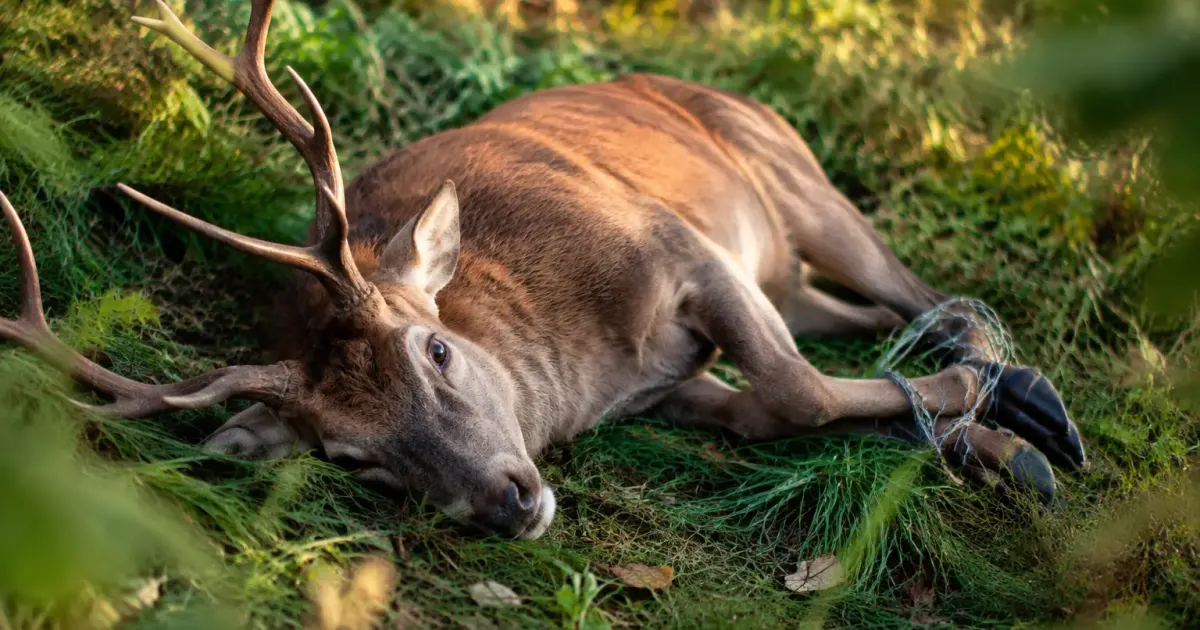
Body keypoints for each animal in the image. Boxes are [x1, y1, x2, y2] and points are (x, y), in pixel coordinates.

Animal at [0, 0, 1085, 541]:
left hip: (795, 178)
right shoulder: (668, 385)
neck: (585, 373)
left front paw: (981, 410)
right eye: (351, 457)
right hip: (785, 272)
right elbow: (772, 409)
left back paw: (1024, 387)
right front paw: (987, 444)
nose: (507, 502)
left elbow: (798, 393)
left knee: (912, 289)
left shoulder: (675, 243)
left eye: (437, 350)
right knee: (856, 314)